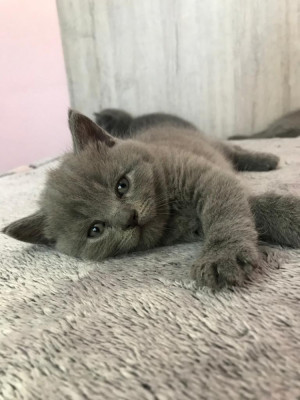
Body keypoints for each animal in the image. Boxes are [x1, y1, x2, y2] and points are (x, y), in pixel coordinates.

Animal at [2, 109, 300, 290]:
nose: (129, 218)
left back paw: (266, 159)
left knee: (234, 149)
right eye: (95, 229)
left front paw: (222, 256)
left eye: (122, 185)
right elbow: (252, 208)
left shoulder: (208, 178)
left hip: (212, 145)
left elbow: (228, 211)